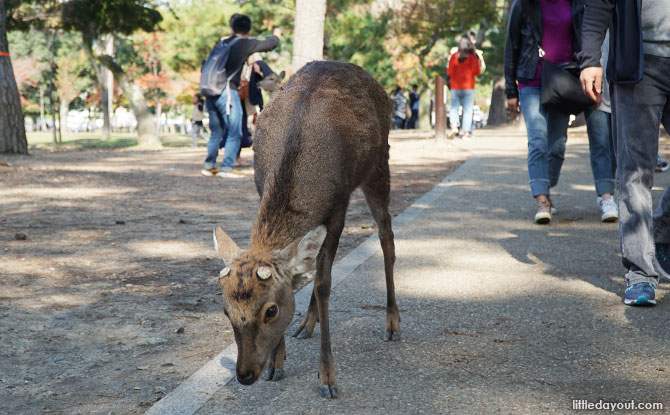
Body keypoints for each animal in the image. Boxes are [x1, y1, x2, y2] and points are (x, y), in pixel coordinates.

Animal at [213, 59, 400, 400]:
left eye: (271, 311)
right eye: (225, 311)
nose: (245, 375)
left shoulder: (338, 208)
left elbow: (325, 284)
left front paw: (327, 378)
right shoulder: (260, 189)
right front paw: (277, 363)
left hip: (380, 164)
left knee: (386, 236)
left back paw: (393, 323)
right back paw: (306, 324)